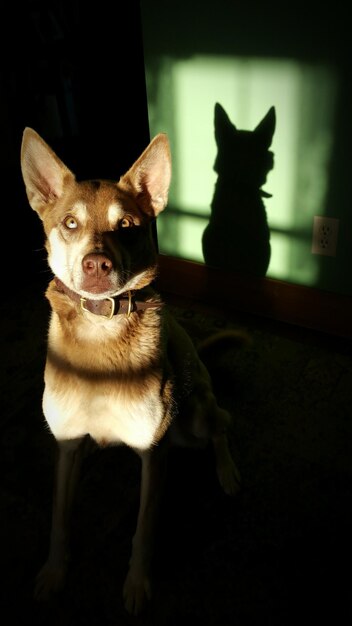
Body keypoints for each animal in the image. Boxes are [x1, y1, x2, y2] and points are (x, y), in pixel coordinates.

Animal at [20, 128, 242, 616]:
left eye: (126, 225)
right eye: (70, 223)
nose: (97, 265)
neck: (100, 334)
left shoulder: (154, 452)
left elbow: (144, 531)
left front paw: (138, 584)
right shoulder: (64, 446)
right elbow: (59, 517)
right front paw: (53, 572)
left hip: (194, 419)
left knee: (220, 426)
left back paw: (227, 472)